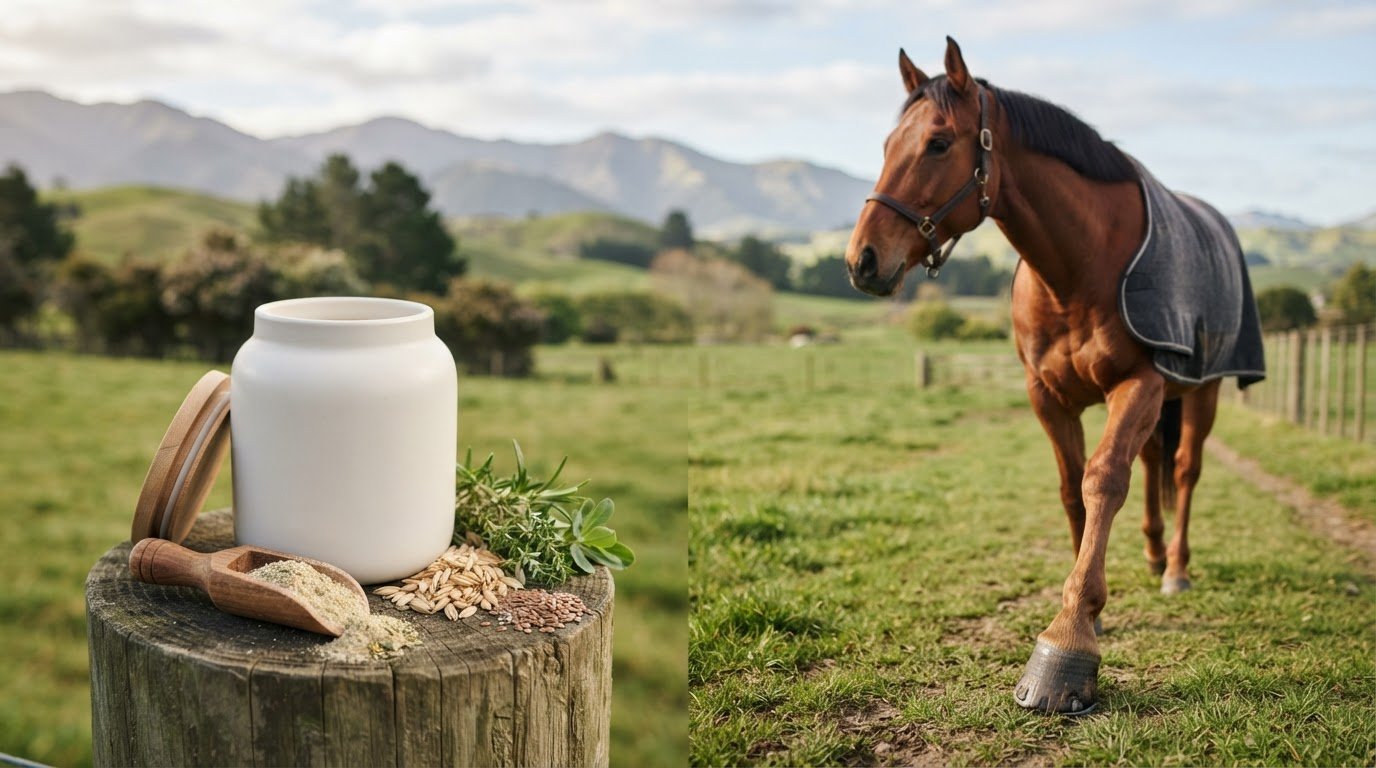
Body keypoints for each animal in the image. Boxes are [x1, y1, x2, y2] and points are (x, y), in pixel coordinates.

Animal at [845, 37, 1265, 715]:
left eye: (938, 142)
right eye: (888, 145)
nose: (863, 260)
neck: (1079, 265)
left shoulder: (1139, 383)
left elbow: (1102, 482)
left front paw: (1070, 636)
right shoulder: (1048, 397)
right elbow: (1072, 489)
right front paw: (1093, 613)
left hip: (1200, 391)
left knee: (1183, 470)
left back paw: (1175, 568)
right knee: (1156, 463)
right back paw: (1153, 555)